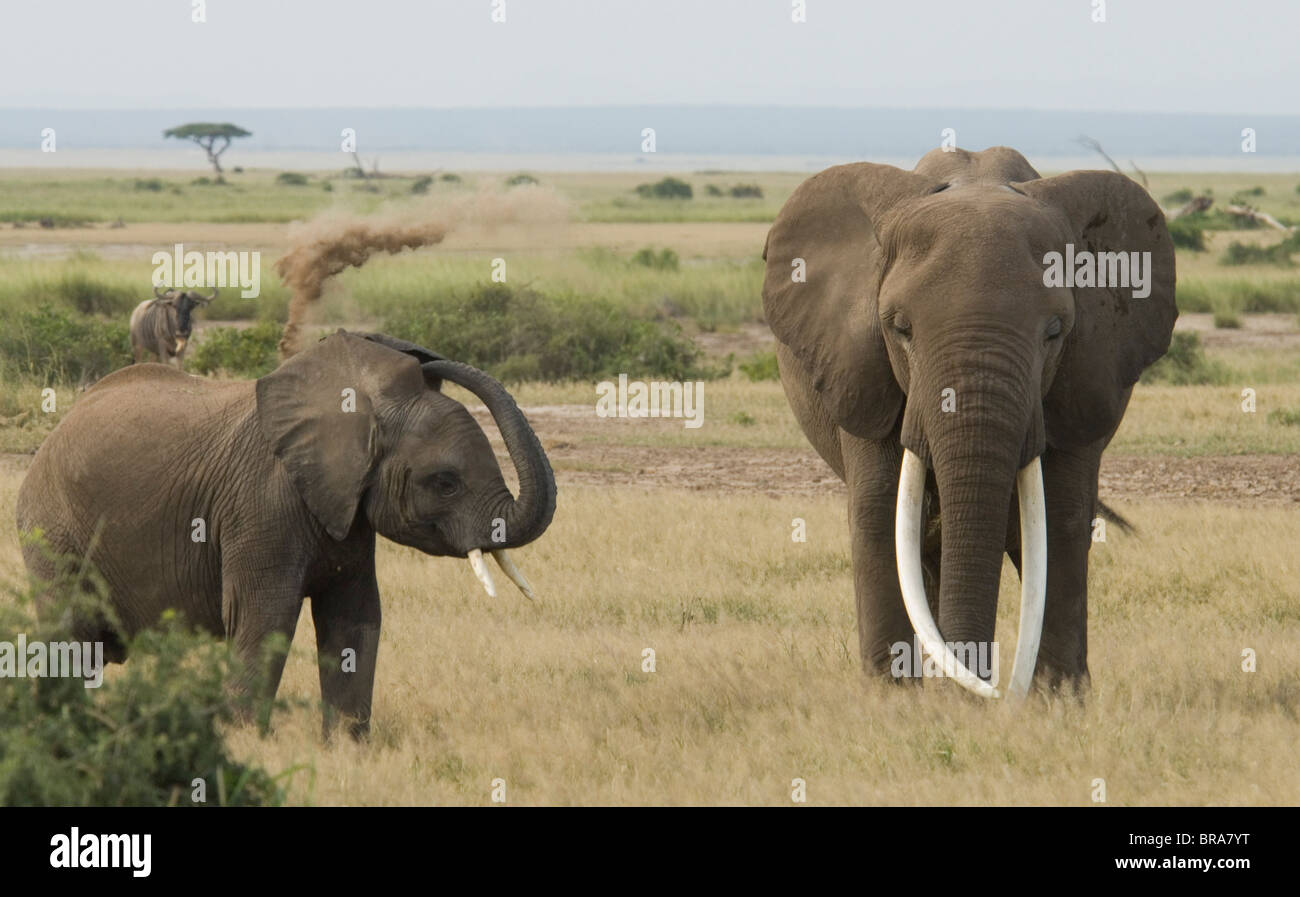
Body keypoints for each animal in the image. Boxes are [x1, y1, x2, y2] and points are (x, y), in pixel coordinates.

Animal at [16, 328, 553, 733]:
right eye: (444, 482)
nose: (417, 351)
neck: (360, 412)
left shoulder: (347, 510)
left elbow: (355, 618)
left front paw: (346, 750)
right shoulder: (261, 503)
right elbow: (265, 616)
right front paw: (245, 742)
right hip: (51, 528)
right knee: (71, 636)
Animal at [759, 144, 1180, 691]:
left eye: (1055, 331)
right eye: (900, 328)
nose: (984, 692)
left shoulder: (1089, 374)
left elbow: (1061, 518)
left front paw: (1057, 698)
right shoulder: (860, 369)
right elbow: (879, 513)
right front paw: (895, 699)